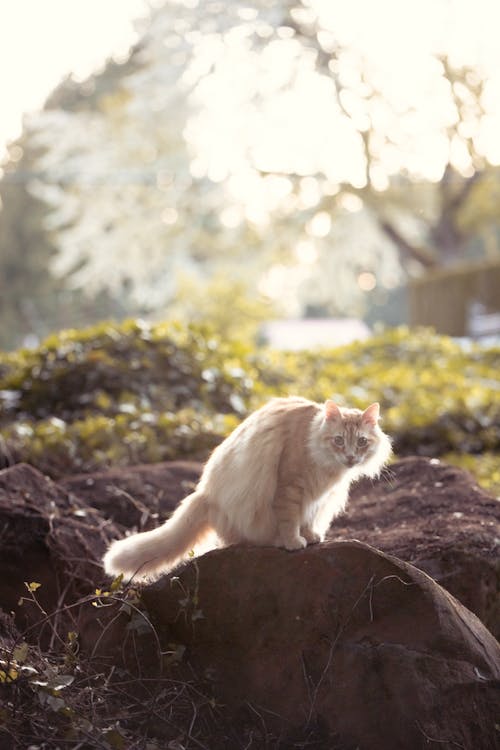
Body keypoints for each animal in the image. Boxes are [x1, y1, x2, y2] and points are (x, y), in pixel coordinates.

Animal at [103, 396, 390, 584]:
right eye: (339, 440)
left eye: (362, 442)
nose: (351, 457)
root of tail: (205, 494)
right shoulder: (290, 487)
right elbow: (290, 519)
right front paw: (293, 542)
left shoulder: (316, 498)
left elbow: (307, 519)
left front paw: (310, 536)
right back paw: (275, 541)